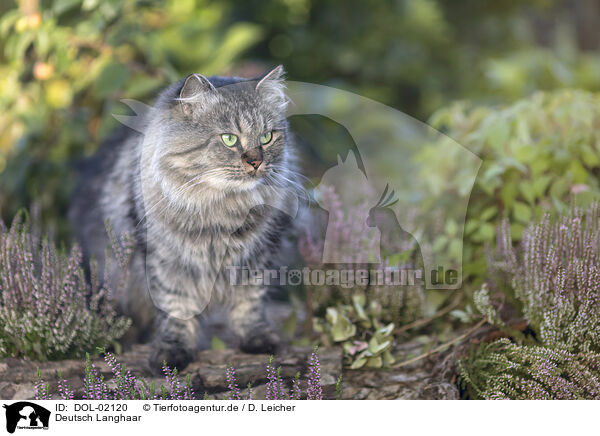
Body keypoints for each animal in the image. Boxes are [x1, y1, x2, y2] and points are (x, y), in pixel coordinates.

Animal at [70, 66, 298, 372]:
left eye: (267, 137)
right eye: (229, 139)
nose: (256, 162)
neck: (221, 210)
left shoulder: (256, 257)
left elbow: (249, 305)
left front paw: (257, 339)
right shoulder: (167, 260)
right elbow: (177, 309)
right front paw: (172, 353)